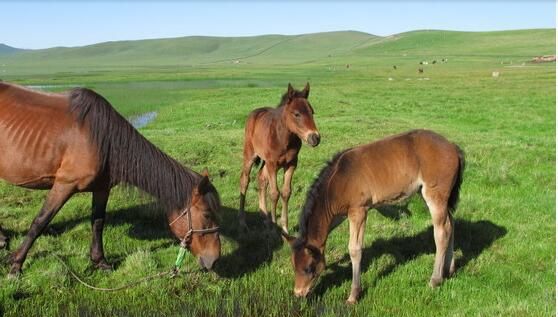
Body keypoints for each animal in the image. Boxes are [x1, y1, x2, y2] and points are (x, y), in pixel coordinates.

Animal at [0, 82, 222, 276]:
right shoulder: (64, 185)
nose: (214, 260)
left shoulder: (102, 188)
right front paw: (16, 264)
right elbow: (40, 222)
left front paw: (100, 261)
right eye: (207, 214)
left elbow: (98, 222)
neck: (102, 139)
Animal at [238, 82, 322, 232]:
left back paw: (264, 216)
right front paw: (274, 229)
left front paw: (284, 227)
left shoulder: (292, 163)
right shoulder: (273, 164)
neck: (283, 138)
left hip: (265, 162)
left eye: (312, 112)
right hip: (250, 154)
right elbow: (274, 193)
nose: (315, 138)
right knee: (245, 180)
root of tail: (254, 113)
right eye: (297, 114)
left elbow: (286, 192)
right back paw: (243, 223)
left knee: (261, 178)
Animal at [284, 130, 464, 302]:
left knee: (442, 231)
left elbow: (355, 249)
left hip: (435, 196)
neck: (338, 180)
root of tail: (452, 147)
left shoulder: (358, 211)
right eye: (293, 266)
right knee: (451, 224)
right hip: (436, 197)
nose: (298, 293)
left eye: (308, 268)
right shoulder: (339, 215)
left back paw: (435, 279)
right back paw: (449, 269)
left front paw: (354, 295)